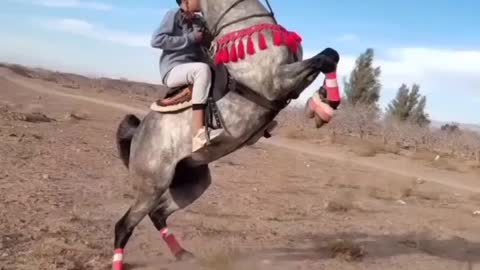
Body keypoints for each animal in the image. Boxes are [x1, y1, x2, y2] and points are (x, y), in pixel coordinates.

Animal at [112, 0, 338, 268]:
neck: (242, 22)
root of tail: (138, 135)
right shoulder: (276, 80)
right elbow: (324, 58)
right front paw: (325, 107)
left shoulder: (291, 81)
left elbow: (329, 57)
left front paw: (322, 105)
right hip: (151, 186)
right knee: (124, 225)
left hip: (192, 184)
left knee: (157, 214)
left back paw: (182, 254)